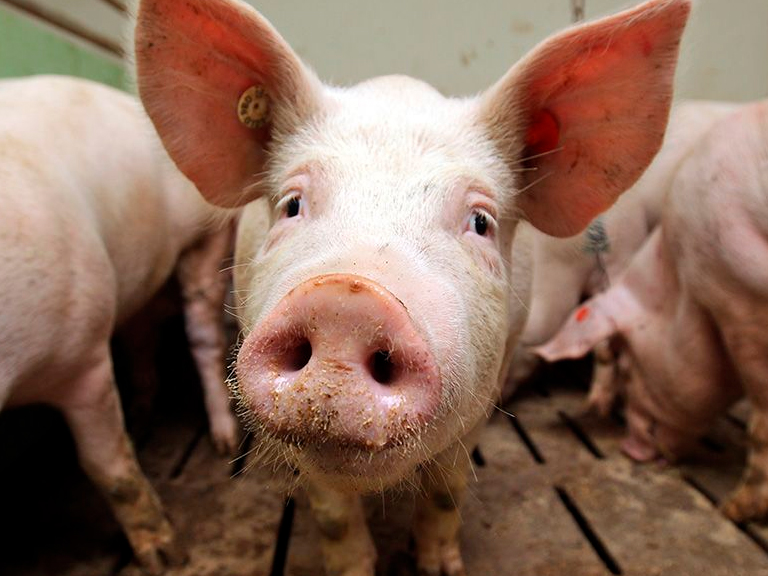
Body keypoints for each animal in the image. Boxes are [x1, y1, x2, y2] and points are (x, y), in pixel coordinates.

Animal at [0, 75, 239, 573]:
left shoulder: (82, 354)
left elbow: (108, 467)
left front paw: (167, 557)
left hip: (207, 237)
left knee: (202, 336)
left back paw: (223, 443)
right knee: (140, 338)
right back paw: (142, 414)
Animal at [134, 0, 690, 573]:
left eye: (481, 222)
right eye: (291, 204)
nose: (344, 300)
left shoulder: (486, 387)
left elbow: (447, 488)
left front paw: (440, 565)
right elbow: (334, 516)